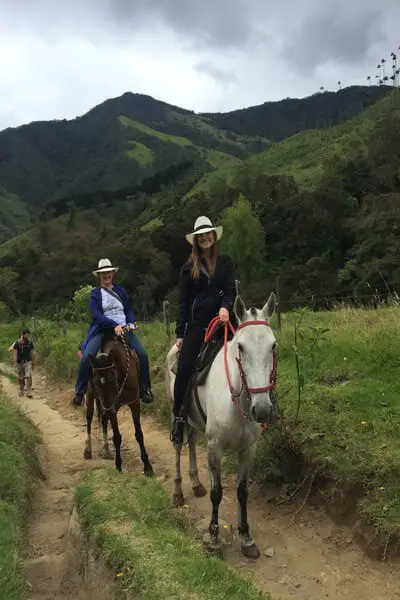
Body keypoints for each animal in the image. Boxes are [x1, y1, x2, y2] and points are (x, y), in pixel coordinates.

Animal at [83, 330, 154, 476]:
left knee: (103, 420)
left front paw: (147, 466)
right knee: (89, 418)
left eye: (112, 379)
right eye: (96, 383)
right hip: (92, 398)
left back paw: (106, 450)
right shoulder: (112, 407)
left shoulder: (134, 403)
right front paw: (118, 466)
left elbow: (139, 434)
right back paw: (88, 449)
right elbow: (116, 437)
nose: (108, 409)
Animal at [164, 292, 276, 560]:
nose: (263, 409)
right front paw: (214, 539)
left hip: (194, 420)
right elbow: (218, 494)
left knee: (192, 441)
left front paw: (246, 538)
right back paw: (178, 492)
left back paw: (196, 484)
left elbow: (242, 492)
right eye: (241, 346)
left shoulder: (247, 449)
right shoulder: (215, 447)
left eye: (273, 346)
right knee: (178, 446)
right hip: (175, 414)